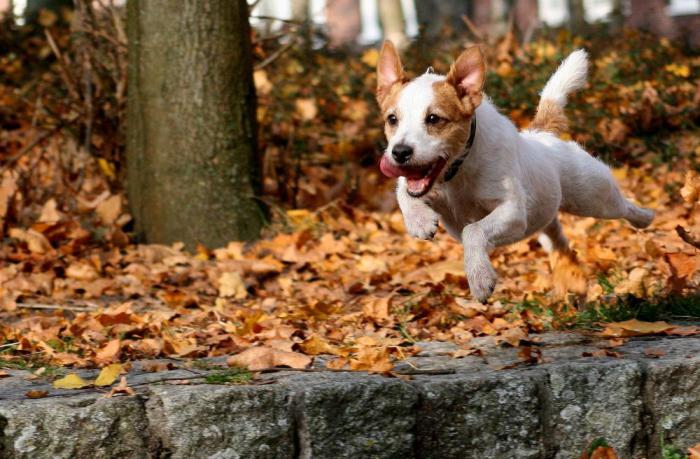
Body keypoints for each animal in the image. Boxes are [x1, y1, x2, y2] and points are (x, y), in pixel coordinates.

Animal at [374, 41, 652, 304]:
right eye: (392, 119)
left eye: (433, 119)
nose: (399, 152)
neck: (458, 172)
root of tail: (543, 134)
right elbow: (404, 192)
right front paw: (419, 220)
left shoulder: (513, 212)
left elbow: (473, 230)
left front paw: (480, 278)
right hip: (546, 215)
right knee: (557, 239)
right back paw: (570, 276)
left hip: (594, 198)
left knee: (624, 207)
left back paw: (645, 218)